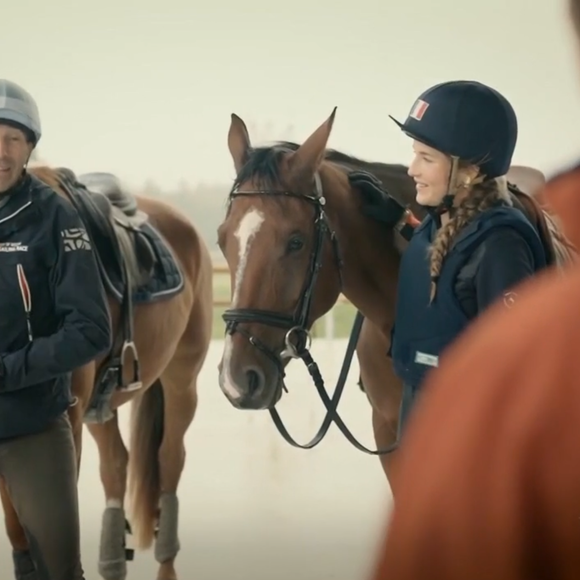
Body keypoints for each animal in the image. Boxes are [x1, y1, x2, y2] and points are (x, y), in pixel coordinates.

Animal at [0, 164, 213, 580]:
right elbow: (18, 529)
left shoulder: (62, 421)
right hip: (101, 406)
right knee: (117, 464)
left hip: (181, 382)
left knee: (169, 460)